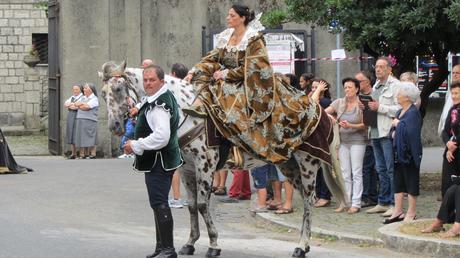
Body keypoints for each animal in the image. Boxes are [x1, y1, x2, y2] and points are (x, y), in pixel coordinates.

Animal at [99, 61, 344, 258]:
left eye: (119, 88)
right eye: (103, 93)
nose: (115, 126)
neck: (188, 111)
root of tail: (323, 113)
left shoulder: (204, 166)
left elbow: (201, 205)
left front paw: (214, 245)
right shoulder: (186, 169)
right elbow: (191, 206)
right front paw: (190, 243)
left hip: (307, 165)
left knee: (309, 202)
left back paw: (301, 246)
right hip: (289, 166)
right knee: (305, 200)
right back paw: (305, 244)